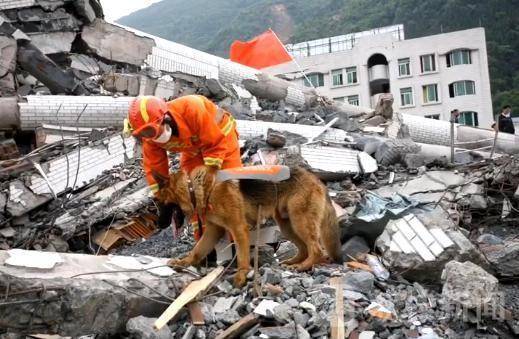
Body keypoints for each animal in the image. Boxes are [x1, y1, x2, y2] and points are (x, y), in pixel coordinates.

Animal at [153, 167, 342, 286]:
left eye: (159, 203)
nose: (157, 224)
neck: (196, 188)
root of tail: (317, 179)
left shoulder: (238, 229)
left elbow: (242, 257)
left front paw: (241, 276)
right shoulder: (213, 231)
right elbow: (197, 251)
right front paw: (183, 262)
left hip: (299, 221)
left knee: (316, 249)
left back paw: (303, 266)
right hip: (287, 225)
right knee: (303, 248)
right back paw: (294, 262)